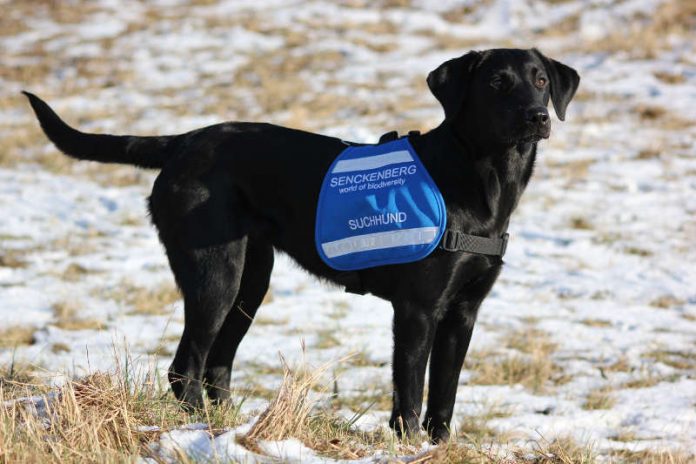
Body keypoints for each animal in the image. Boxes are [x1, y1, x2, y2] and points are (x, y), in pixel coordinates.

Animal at [24, 48, 580, 442]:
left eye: (541, 81)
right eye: (496, 83)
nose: (537, 116)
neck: (481, 179)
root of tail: (182, 142)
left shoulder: (464, 312)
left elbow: (444, 394)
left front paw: (439, 446)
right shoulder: (417, 311)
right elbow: (409, 394)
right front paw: (408, 445)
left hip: (252, 280)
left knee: (218, 366)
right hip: (215, 276)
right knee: (187, 367)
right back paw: (200, 428)